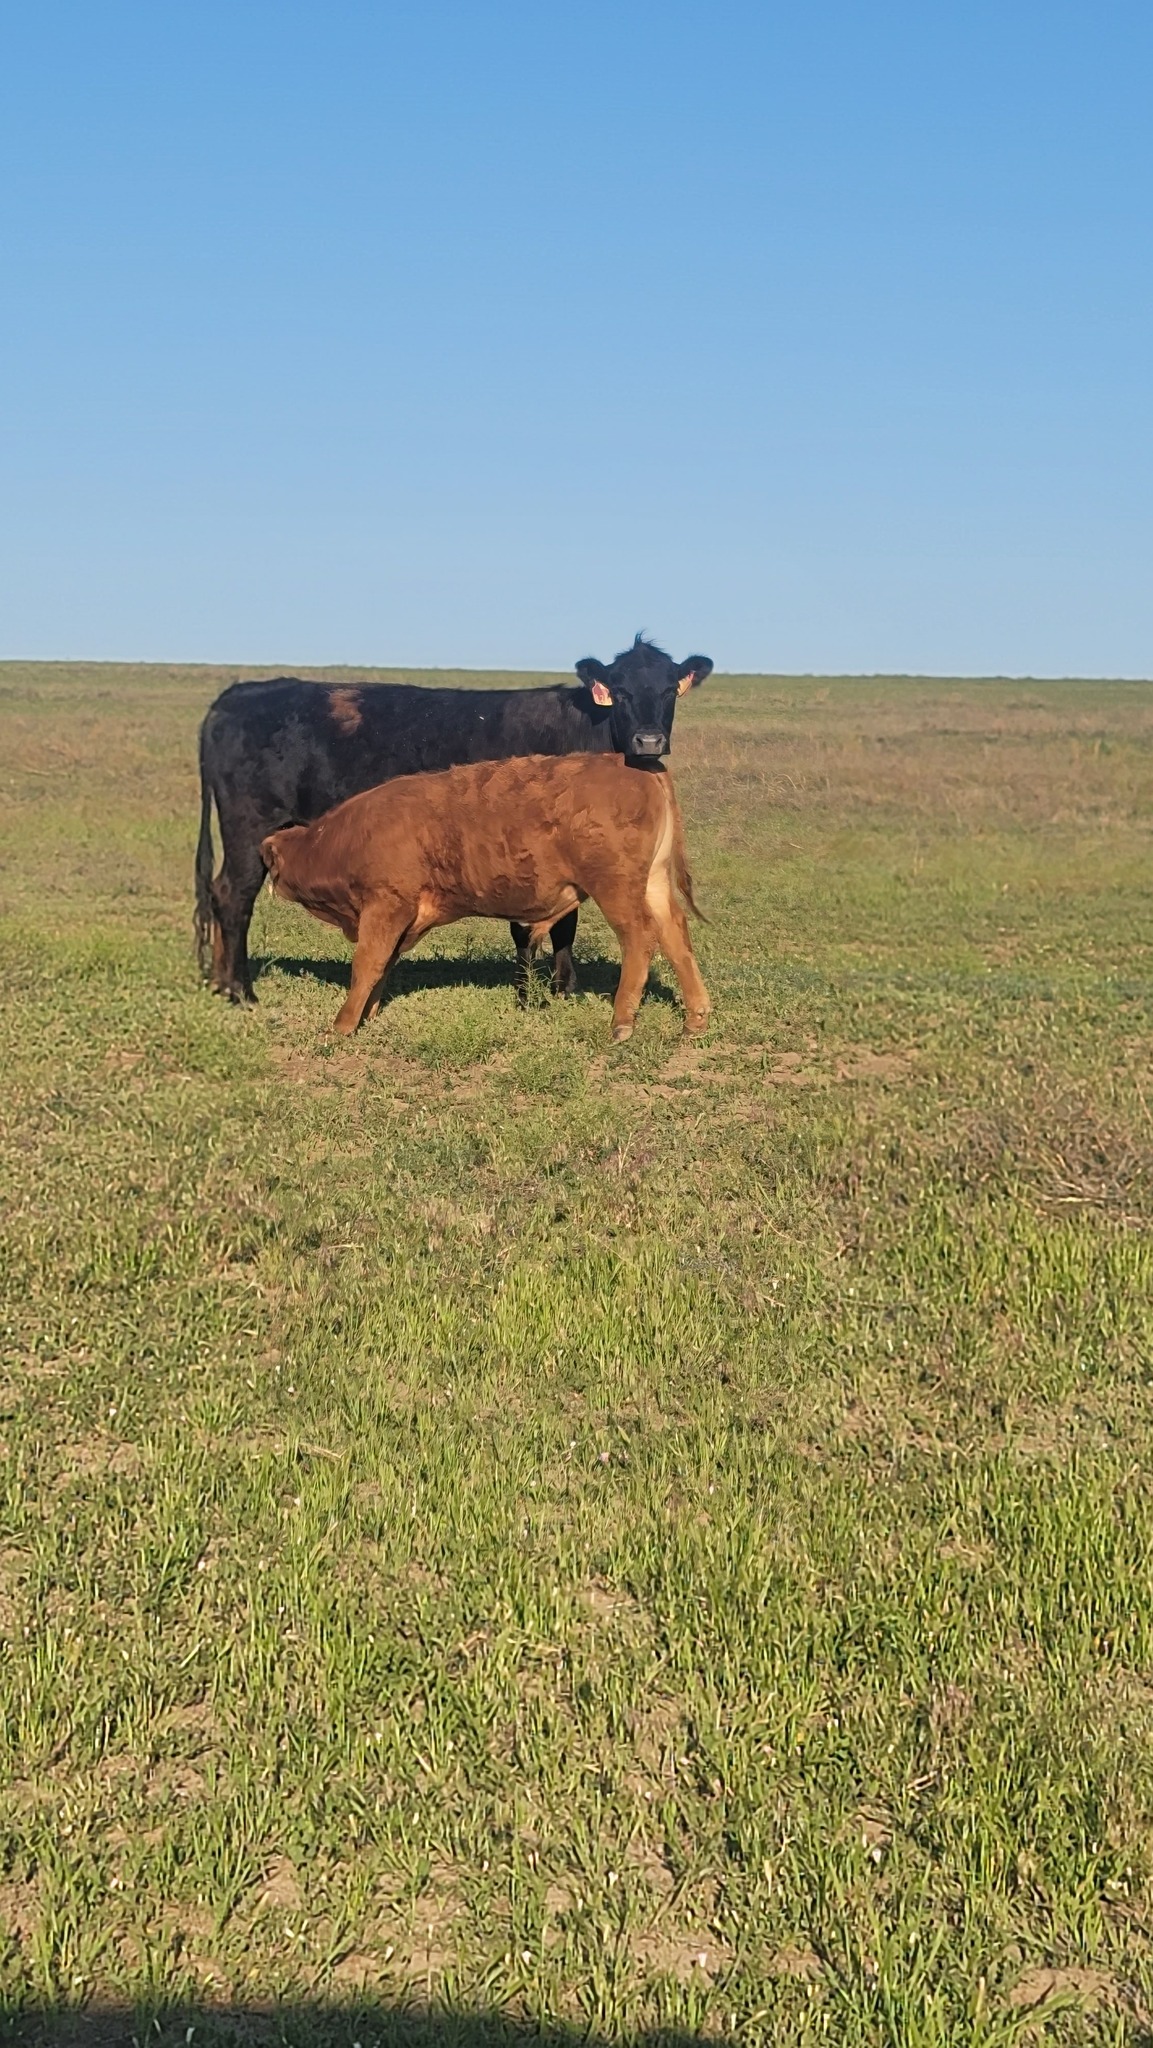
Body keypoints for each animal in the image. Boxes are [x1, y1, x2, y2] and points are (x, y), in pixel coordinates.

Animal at [195, 636, 712, 1003]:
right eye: (619, 691)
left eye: (669, 690)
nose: (648, 740)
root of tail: (238, 694)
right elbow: (528, 922)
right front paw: (529, 993)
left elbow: (566, 920)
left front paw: (565, 987)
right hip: (250, 825)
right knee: (234, 896)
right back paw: (241, 991)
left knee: (220, 893)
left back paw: (221, 983)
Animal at [260, 753, 711, 1045]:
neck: (347, 838)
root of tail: (631, 763)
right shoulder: (400, 919)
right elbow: (383, 966)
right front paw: (369, 1014)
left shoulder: (386, 906)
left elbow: (366, 965)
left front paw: (342, 1024)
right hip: (652, 883)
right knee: (675, 935)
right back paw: (695, 1018)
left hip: (615, 887)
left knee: (640, 937)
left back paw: (622, 1022)